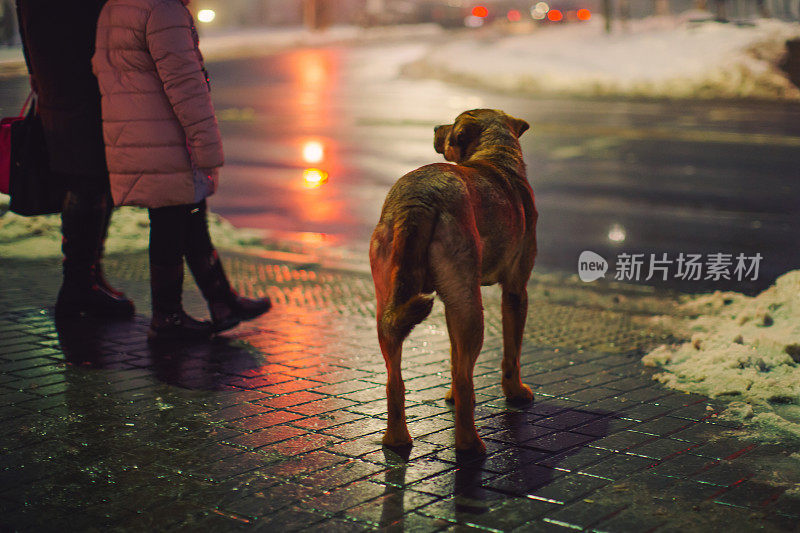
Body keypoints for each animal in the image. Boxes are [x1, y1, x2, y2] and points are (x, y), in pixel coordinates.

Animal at [370, 109, 536, 454]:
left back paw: (396, 439)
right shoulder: (516, 290)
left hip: (393, 305)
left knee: (395, 380)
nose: (435, 126)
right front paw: (515, 391)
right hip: (473, 311)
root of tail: (418, 200)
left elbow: (454, 355)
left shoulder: (451, 302)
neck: (495, 154)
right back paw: (469, 445)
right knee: (465, 380)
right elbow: (511, 352)